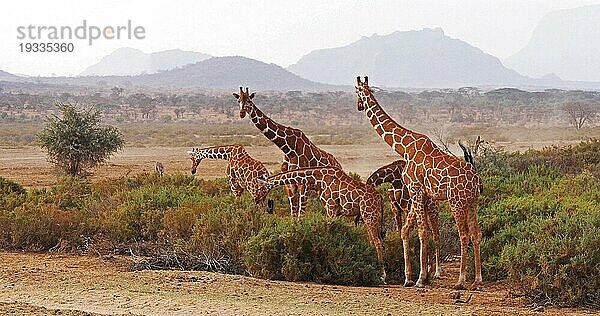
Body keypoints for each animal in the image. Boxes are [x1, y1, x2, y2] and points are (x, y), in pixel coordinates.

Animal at [233, 87, 340, 217]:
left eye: (249, 100)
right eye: (238, 100)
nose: (242, 113)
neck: (288, 148)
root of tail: (339, 165)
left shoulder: (303, 185)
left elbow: (301, 214)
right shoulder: (289, 184)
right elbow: (293, 213)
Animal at [255, 167, 386, 280]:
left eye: (260, 188)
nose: (256, 199)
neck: (318, 179)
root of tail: (380, 198)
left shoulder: (331, 208)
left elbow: (328, 235)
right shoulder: (336, 212)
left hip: (370, 216)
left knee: (378, 242)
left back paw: (382, 275)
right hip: (367, 217)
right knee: (372, 240)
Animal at [356, 76, 482, 288]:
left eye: (356, 92)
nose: (358, 106)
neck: (404, 147)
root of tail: (476, 179)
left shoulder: (415, 189)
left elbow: (422, 232)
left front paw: (421, 278)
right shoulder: (419, 194)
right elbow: (406, 230)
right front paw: (409, 277)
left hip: (456, 202)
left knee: (464, 235)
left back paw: (461, 280)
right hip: (472, 203)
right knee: (476, 233)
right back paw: (478, 279)